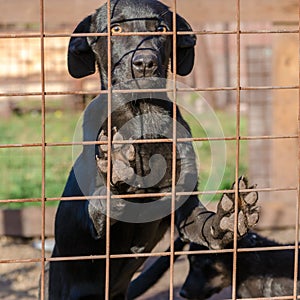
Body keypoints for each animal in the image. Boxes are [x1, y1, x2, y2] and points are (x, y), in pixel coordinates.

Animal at [48, 1, 258, 298]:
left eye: (161, 29)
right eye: (116, 28)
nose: (145, 63)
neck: (142, 116)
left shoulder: (183, 205)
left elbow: (206, 226)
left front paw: (230, 218)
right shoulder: (93, 226)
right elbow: (98, 207)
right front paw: (115, 169)